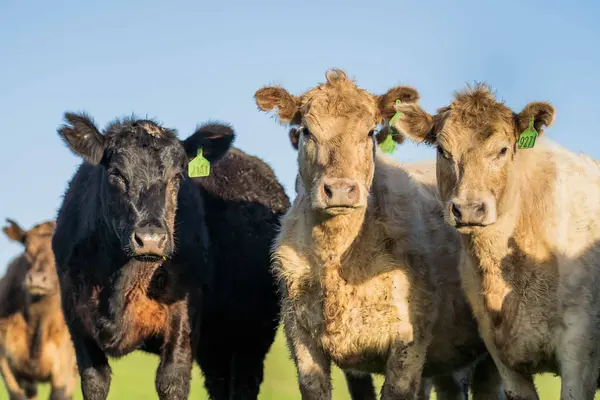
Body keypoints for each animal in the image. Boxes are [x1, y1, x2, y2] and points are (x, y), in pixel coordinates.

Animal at [52, 113, 292, 400]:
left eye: (178, 176)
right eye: (116, 174)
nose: (151, 239)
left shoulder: (181, 320)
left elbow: (171, 381)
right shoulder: (77, 323)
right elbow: (95, 382)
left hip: (253, 332)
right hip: (216, 343)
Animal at [253, 69, 502, 400]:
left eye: (370, 132)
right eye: (306, 131)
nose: (340, 190)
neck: (337, 256)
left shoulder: (409, 343)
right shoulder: (302, 341)